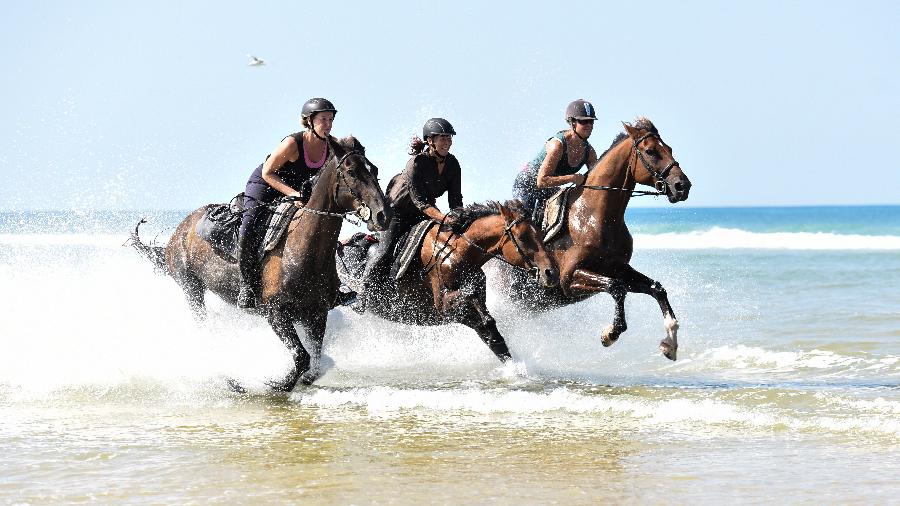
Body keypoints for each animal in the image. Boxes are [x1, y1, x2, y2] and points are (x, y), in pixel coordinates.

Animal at [130, 136, 390, 390]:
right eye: (351, 171)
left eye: (375, 170)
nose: (383, 215)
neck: (304, 251)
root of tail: (179, 230)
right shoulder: (275, 313)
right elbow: (301, 357)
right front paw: (275, 383)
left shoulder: (315, 315)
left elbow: (314, 362)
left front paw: (295, 380)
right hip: (190, 287)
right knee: (205, 330)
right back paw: (228, 378)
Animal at [338, 200, 560, 362]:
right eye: (522, 237)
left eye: (541, 233)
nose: (551, 273)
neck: (458, 251)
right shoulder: (444, 306)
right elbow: (473, 299)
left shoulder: (466, 314)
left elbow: (492, 335)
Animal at [488, 119, 692, 360]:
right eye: (651, 151)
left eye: (669, 149)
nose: (682, 186)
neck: (595, 217)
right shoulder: (569, 278)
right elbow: (616, 288)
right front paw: (610, 334)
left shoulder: (618, 268)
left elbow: (656, 288)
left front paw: (670, 343)